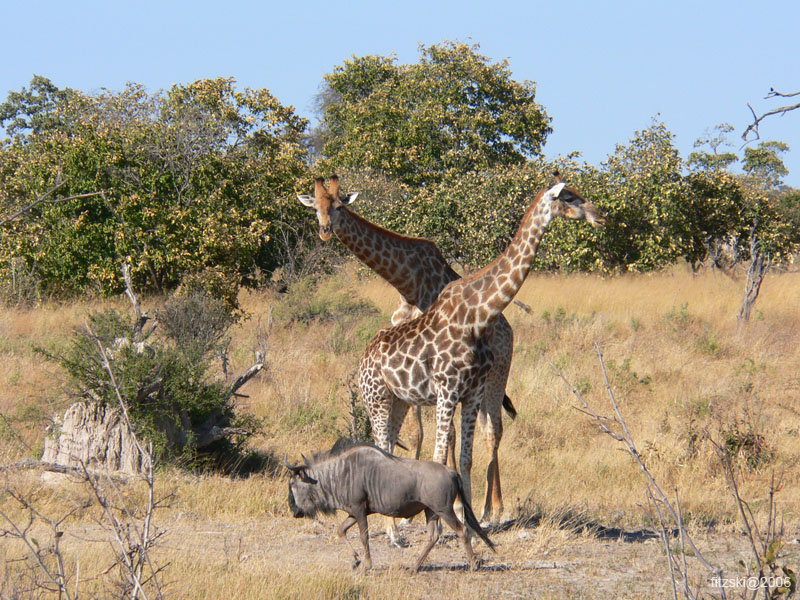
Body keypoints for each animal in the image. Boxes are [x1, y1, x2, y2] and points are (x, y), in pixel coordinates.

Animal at [296, 176, 516, 524]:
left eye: (340, 206)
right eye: (315, 206)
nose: (325, 230)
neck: (407, 282)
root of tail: (509, 330)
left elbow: (447, 435)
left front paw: (451, 504)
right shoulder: (409, 369)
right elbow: (419, 433)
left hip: (498, 375)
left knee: (493, 431)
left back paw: (492, 509)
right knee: (484, 428)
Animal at [358, 176, 608, 536]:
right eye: (570, 198)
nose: (600, 216)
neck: (480, 313)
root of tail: (361, 360)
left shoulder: (472, 392)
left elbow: (466, 458)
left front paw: (472, 522)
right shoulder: (448, 389)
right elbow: (439, 456)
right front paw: (440, 526)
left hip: (399, 401)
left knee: (390, 446)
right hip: (376, 398)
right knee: (381, 447)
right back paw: (392, 532)